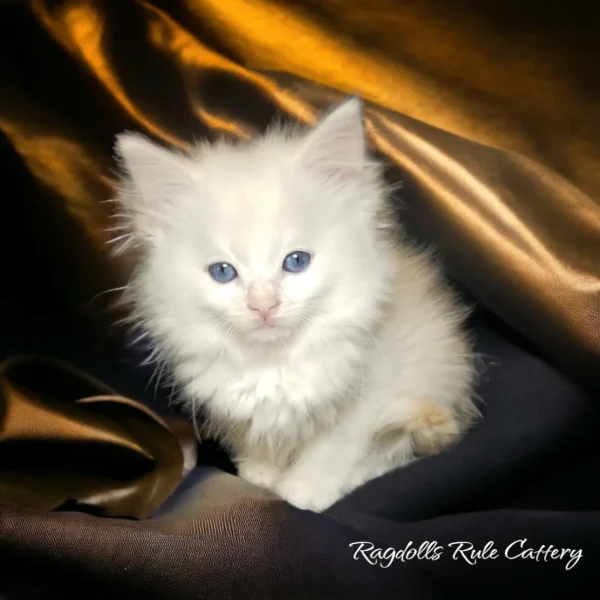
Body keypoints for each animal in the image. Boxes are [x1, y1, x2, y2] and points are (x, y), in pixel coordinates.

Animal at [111, 97, 478, 510]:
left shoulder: (369, 397)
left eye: (296, 261)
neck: (276, 363)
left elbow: (332, 450)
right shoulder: (237, 405)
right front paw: (260, 474)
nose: (263, 306)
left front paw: (302, 493)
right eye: (222, 271)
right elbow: (257, 440)